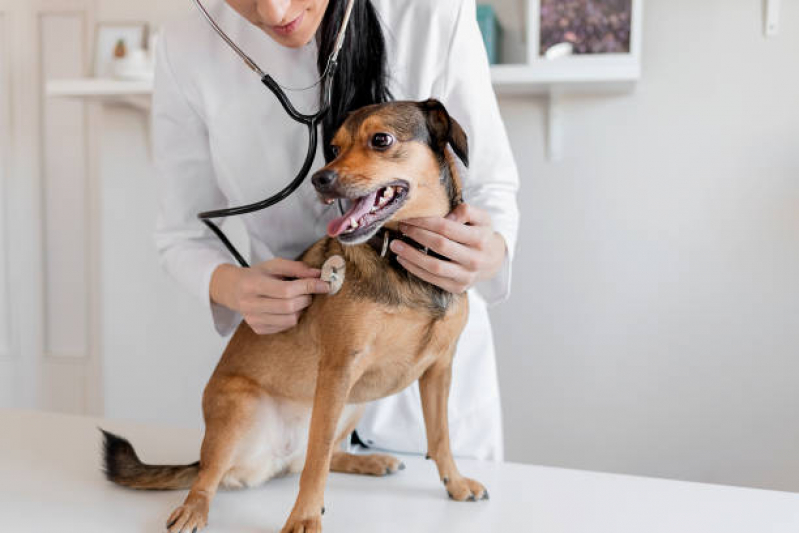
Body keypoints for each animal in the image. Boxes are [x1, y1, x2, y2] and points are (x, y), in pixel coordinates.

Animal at [100, 100, 488, 532]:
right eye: (333, 148)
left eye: (381, 139)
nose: (320, 179)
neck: (403, 258)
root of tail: (274, 459)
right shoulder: (338, 369)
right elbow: (318, 461)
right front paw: (304, 516)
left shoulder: (438, 370)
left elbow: (440, 437)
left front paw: (455, 483)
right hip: (241, 407)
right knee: (214, 476)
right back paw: (193, 509)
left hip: (354, 403)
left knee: (324, 455)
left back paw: (370, 460)